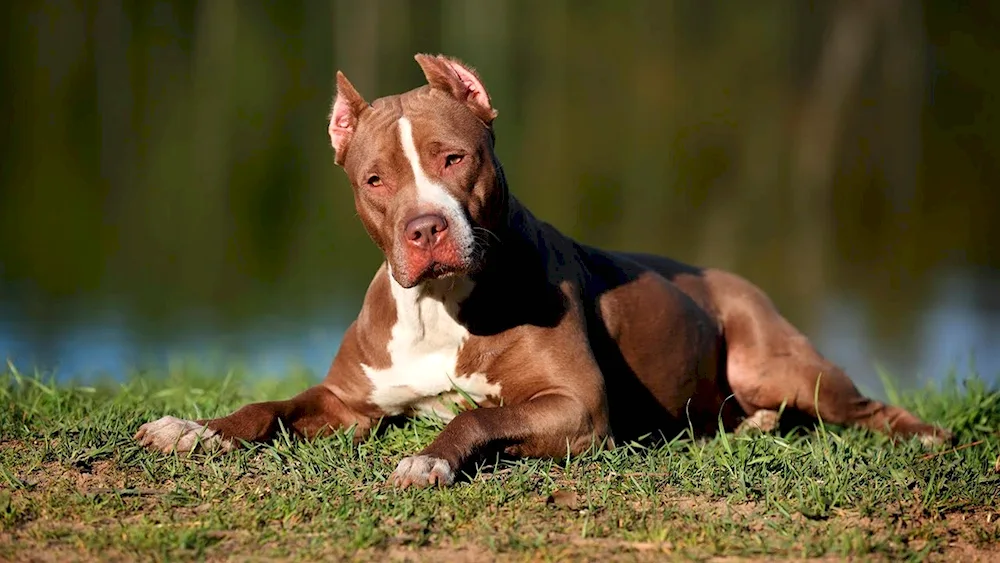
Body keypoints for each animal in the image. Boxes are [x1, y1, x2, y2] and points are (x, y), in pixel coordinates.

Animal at [135, 54, 952, 490]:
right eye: (374, 180)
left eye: (453, 158)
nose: (424, 228)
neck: (439, 306)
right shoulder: (349, 401)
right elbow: (266, 407)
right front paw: (194, 429)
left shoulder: (577, 406)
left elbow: (475, 415)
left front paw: (428, 460)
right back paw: (749, 426)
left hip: (778, 361)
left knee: (862, 407)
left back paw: (927, 438)